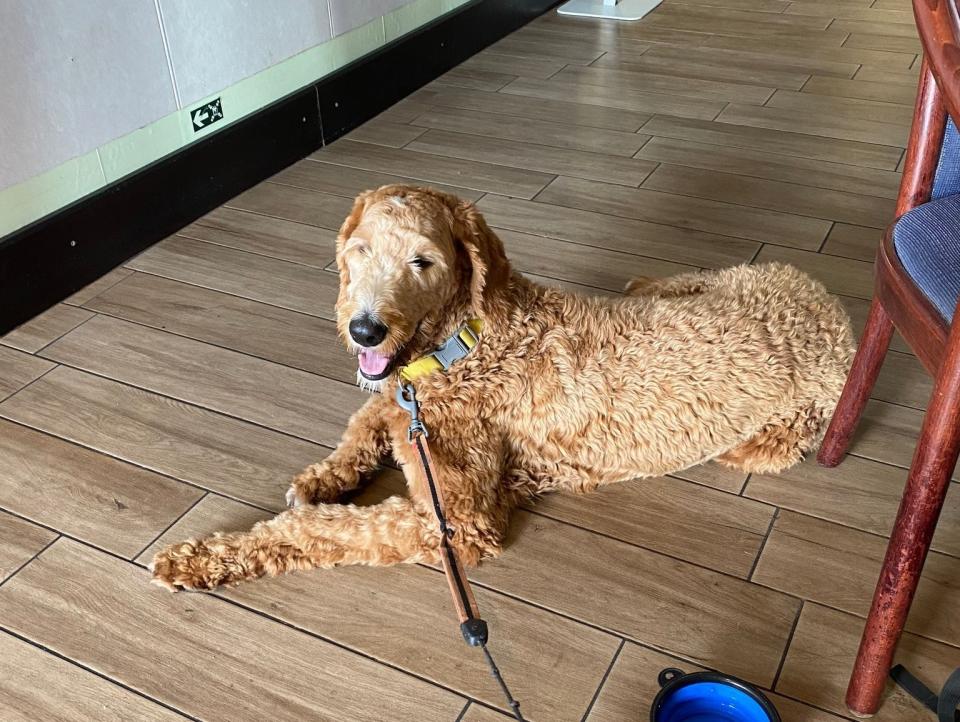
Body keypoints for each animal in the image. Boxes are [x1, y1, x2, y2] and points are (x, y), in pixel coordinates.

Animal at [150, 183, 856, 588]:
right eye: (359, 250)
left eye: (422, 261)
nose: (365, 327)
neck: (471, 337)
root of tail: (831, 306)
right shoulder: (403, 398)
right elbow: (367, 419)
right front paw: (324, 476)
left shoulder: (456, 522)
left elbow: (328, 531)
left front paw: (204, 557)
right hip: (709, 281)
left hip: (778, 435)